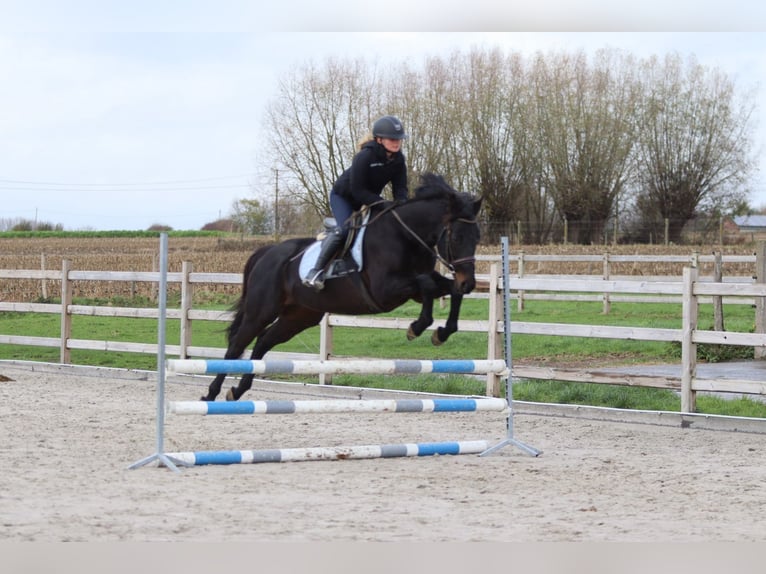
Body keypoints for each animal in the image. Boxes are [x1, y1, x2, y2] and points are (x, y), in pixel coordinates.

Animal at [201, 172, 483, 401]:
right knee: (237, 345)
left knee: (263, 341)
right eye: (457, 237)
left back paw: (237, 390)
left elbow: (445, 289)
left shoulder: (414, 287)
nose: (469, 282)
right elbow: (426, 285)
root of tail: (266, 252)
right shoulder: (385, 291)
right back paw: (211, 393)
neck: (406, 235)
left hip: (299, 316)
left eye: (477, 238)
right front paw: (418, 326)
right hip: (261, 310)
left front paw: (442, 332)